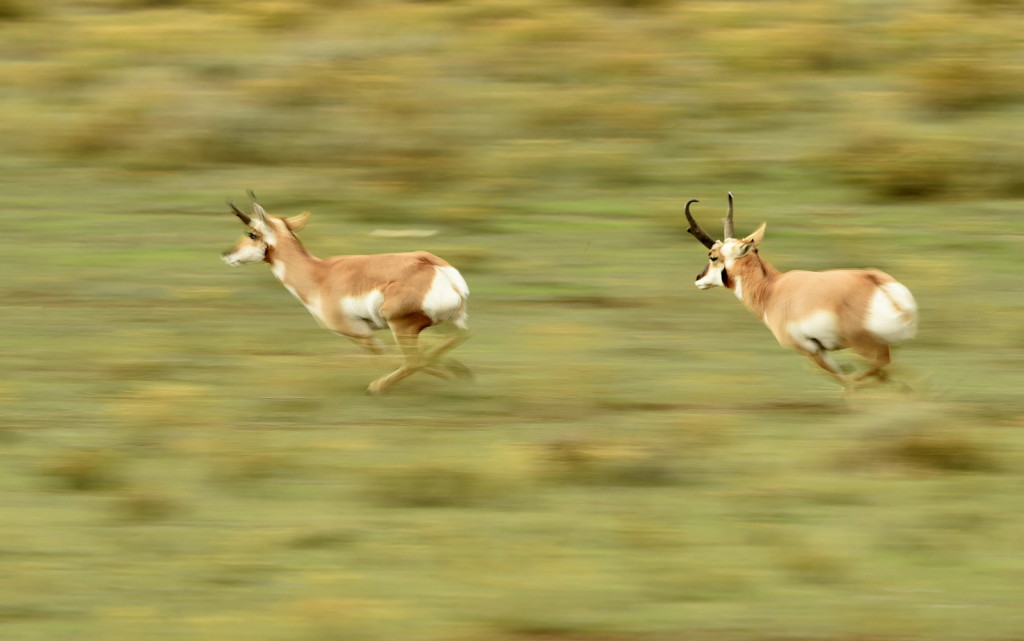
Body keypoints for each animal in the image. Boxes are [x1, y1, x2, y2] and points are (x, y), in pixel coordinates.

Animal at [222, 192, 468, 391]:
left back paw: (377, 387)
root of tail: (432, 267)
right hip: (449, 323)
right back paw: (460, 371)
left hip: (402, 327)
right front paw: (455, 370)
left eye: (252, 233)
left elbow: (389, 357)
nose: (227, 254)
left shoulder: (358, 333)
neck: (320, 274)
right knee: (455, 339)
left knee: (413, 360)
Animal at [684, 192, 917, 387]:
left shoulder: (810, 350)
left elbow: (840, 378)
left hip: (865, 347)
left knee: (878, 371)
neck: (773, 289)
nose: (698, 279)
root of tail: (874, 282)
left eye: (713, 256)